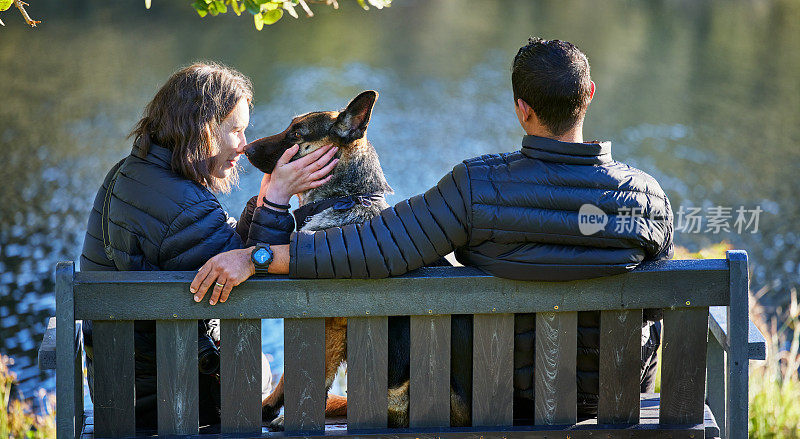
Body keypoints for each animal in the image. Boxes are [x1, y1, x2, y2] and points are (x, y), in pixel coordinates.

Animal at [244, 91, 476, 432]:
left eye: (296, 134)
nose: (245, 149)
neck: (344, 198)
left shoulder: (329, 327)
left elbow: (292, 377)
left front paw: (275, 411)